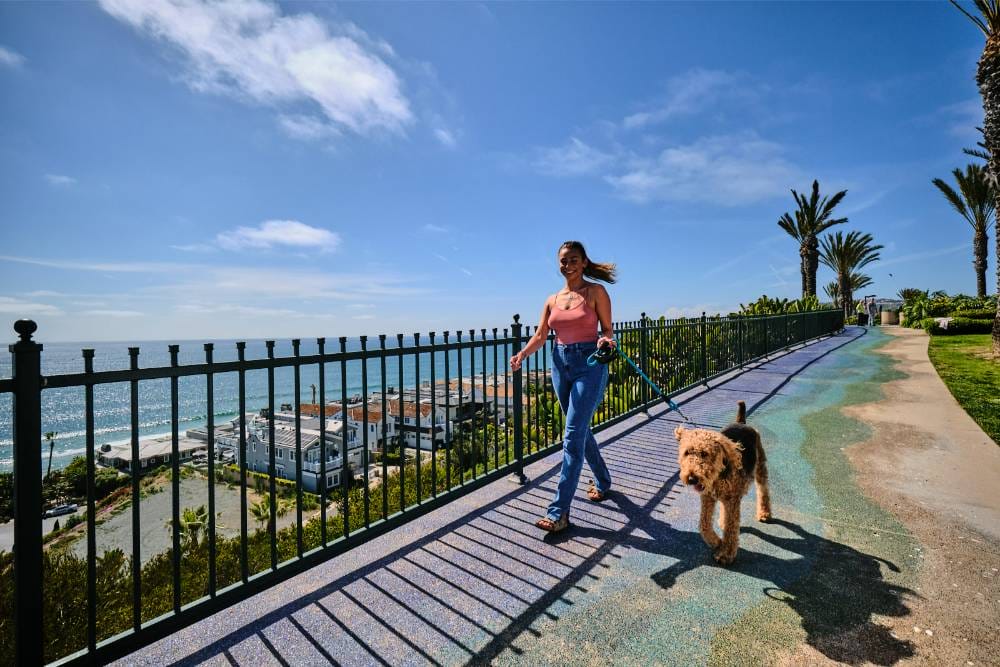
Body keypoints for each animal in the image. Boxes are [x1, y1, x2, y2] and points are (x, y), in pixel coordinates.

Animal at [674, 401, 772, 565]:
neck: (718, 476)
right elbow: (704, 525)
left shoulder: (732, 501)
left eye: (705, 453)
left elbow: (731, 531)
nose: (692, 478)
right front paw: (717, 542)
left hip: (760, 467)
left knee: (763, 490)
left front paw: (726, 554)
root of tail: (741, 423)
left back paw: (764, 513)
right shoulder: (708, 498)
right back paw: (723, 522)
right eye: (687, 452)